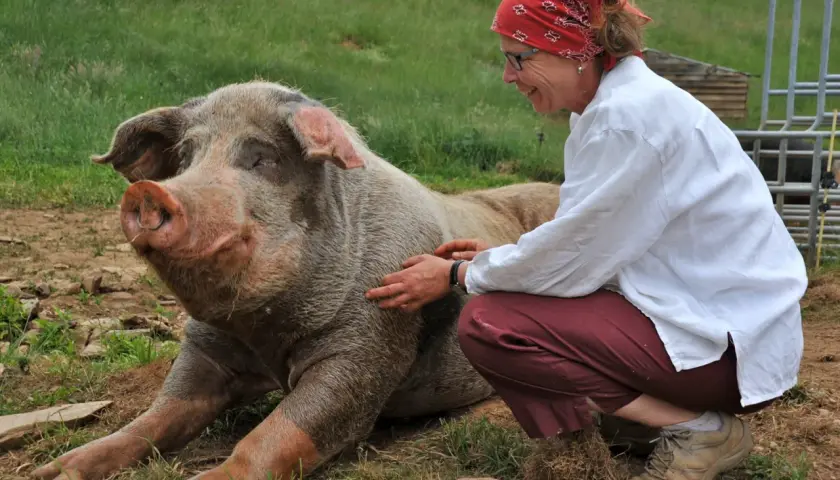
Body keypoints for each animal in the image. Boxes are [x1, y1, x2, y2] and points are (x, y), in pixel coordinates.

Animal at [32, 81, 561, 480]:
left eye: (261, 158)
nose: (148, 191)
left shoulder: (369, 345)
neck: (266, 337)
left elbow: (281, 433)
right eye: (185, 158)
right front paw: (51, 472)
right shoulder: (206, 345)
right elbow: (158, 415)